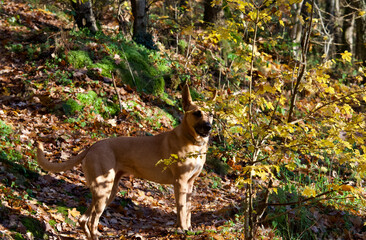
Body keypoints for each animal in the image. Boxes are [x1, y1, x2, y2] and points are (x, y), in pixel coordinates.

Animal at [36, 85, 213, 240]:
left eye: (211, 114)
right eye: (197, 113)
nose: (209, 127)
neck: (192, 141)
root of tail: (92, 146)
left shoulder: (189, 183)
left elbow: (188, 210)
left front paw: (189, 229)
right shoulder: (180, 182)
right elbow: (182, 211)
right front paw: (182, 230)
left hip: (108, 191)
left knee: (84, 219)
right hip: (104, 190)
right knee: (93, 221)